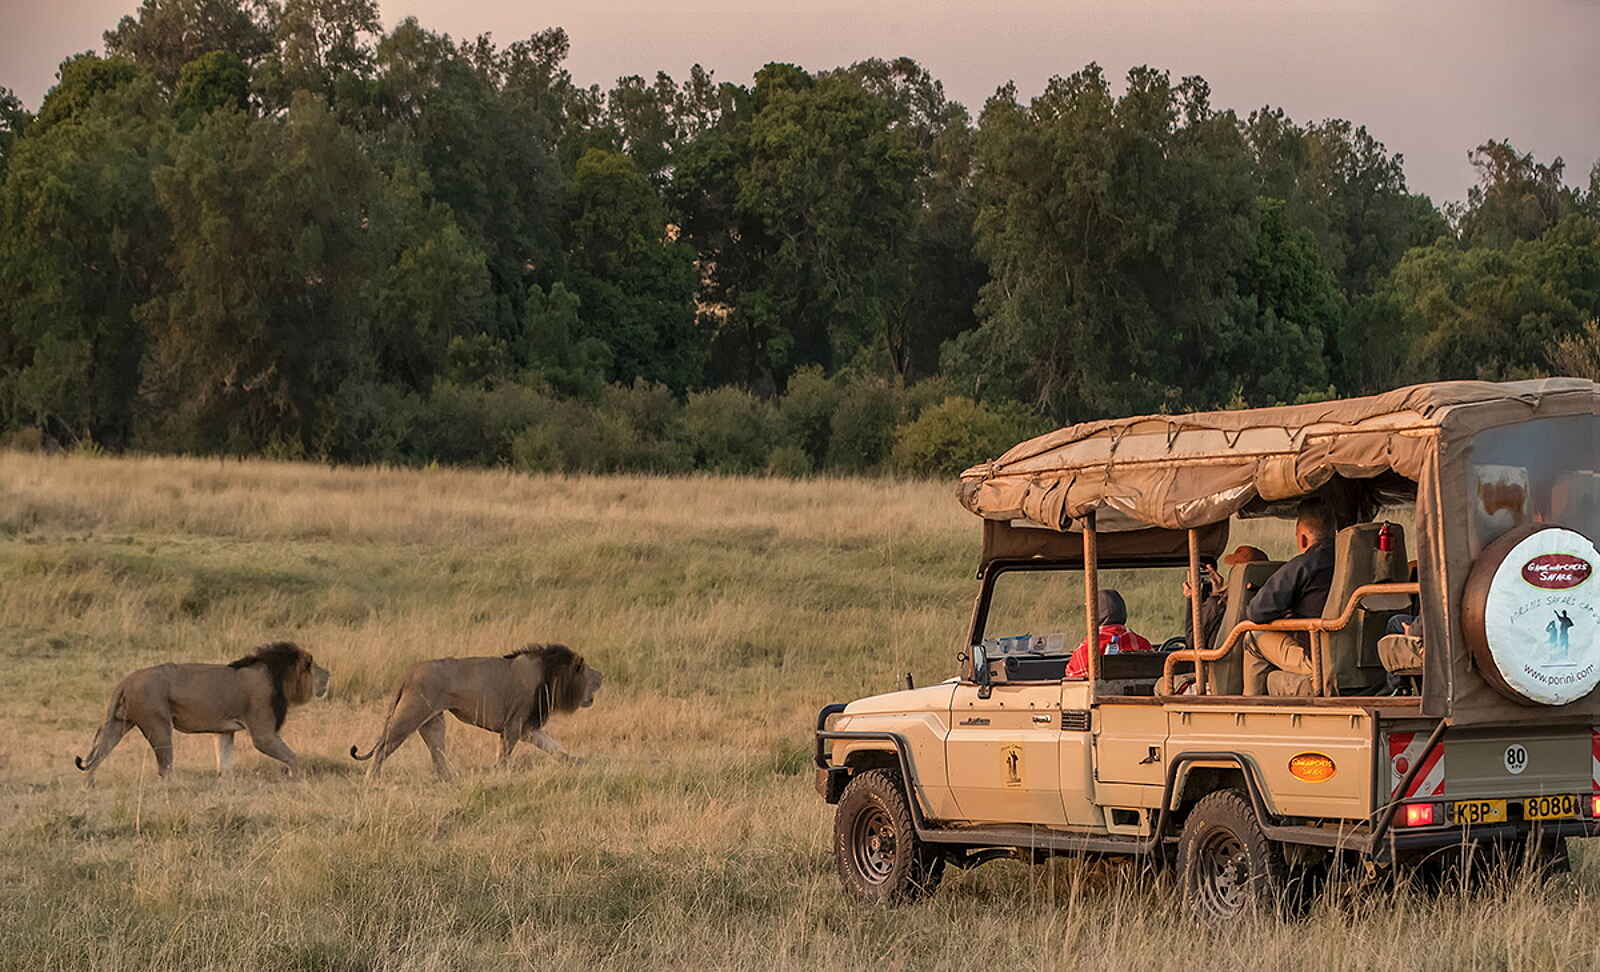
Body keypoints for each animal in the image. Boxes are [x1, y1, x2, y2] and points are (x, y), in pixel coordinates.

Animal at [73, 642, 331, 782]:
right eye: (314, 666)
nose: (329, 674)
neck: (276, 675)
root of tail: (126, 680)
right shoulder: (263, 732)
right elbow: (293, 757)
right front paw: (297, 778)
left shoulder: (225, 731)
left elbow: (225, 762)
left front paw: (225, 784)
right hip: (158, 723)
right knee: (164, 767)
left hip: (118, 723)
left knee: (99, 753)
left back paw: (89, 785)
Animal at [349, 643, 601, 778]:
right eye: (590, 673)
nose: (602, 676)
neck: (552, 676)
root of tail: (409, 672)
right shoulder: (515, 724)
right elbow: (505, 753)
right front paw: (500, 774)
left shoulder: (527, 727)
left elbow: (554, 747)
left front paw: (578, 762)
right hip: (410, 715)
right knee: (383, 747)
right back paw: (372, 778)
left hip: (433, 721)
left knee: (437, 753)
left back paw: (450, 778)